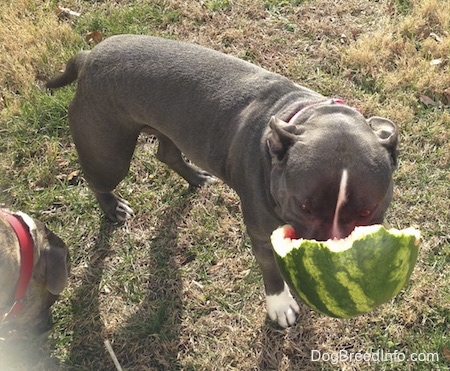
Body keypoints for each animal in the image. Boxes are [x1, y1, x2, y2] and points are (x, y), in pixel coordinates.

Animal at [45, 33, 398, 326]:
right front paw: (280, 306)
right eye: (304, 206)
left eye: (367, 211)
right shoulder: (261, 234)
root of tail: (88, 56)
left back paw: (197, 177)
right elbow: (271, 272)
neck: (302, 116)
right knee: (99, 179)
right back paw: (113, 207)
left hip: (167, 128)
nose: (331, 256)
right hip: (109, 154)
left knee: (167, 153)